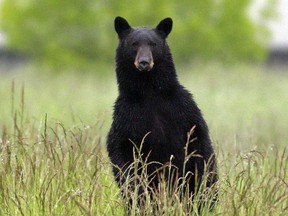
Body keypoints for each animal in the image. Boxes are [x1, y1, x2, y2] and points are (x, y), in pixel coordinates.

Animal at [107, 15, 217, 208]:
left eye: (153, 44)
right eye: (134, 44)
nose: (144, 62)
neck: (149, 92)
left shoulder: (183, 109)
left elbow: (199, 142)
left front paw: (203, 186)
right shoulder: (126, 115)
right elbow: (121, 150)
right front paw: (137, 189)